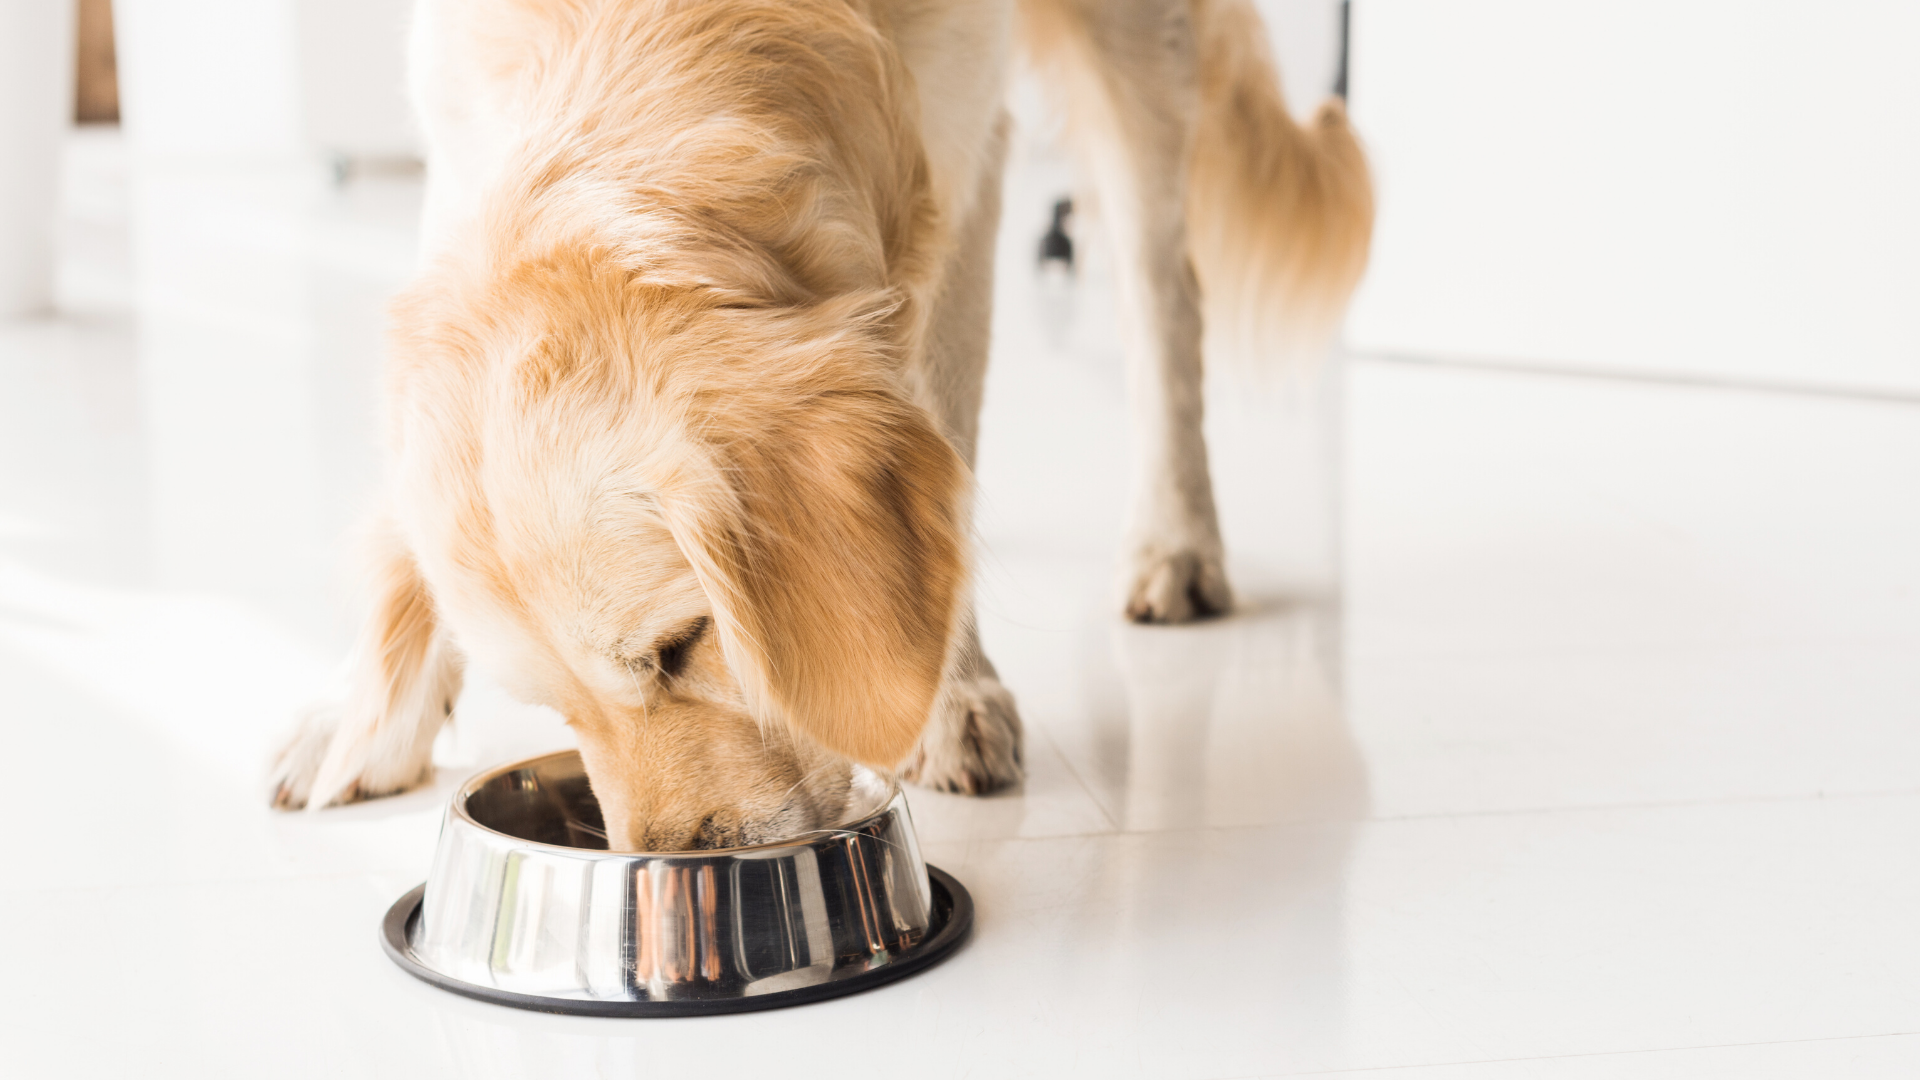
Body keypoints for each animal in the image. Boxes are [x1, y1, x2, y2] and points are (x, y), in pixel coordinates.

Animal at [270, 0, 1374, 845]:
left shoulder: (959, 149)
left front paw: (948, 695)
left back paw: (1175, 540)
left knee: (1162, 288)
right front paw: (364, 710)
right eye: (554, 707)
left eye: (682, 646)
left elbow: (943, 420)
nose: (677, 863)